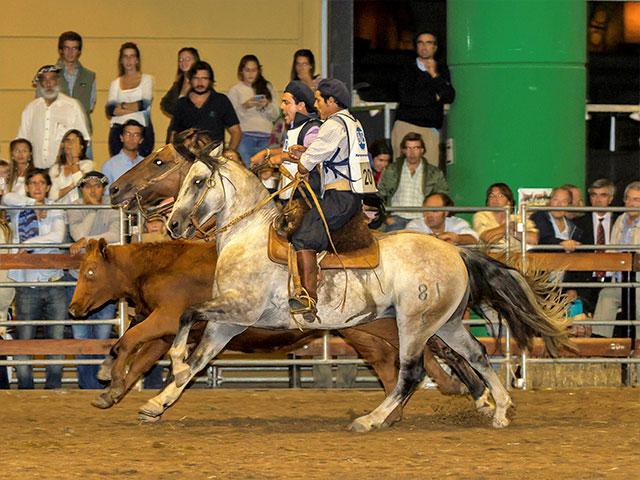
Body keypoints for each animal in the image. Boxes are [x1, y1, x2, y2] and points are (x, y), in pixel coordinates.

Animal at [149, 147, 568, 432]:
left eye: (198, 181)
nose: (172, 225)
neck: (247, 235)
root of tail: (456, 251)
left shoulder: (239, 310)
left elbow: (187, 315)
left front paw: (174, 364)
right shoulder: (228, 322)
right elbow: (199, 358)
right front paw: (158, 401)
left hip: (415, 324)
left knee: (412, 372)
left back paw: (371, 419)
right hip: (446, 323)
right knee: (477, 355)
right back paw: (500, 409)